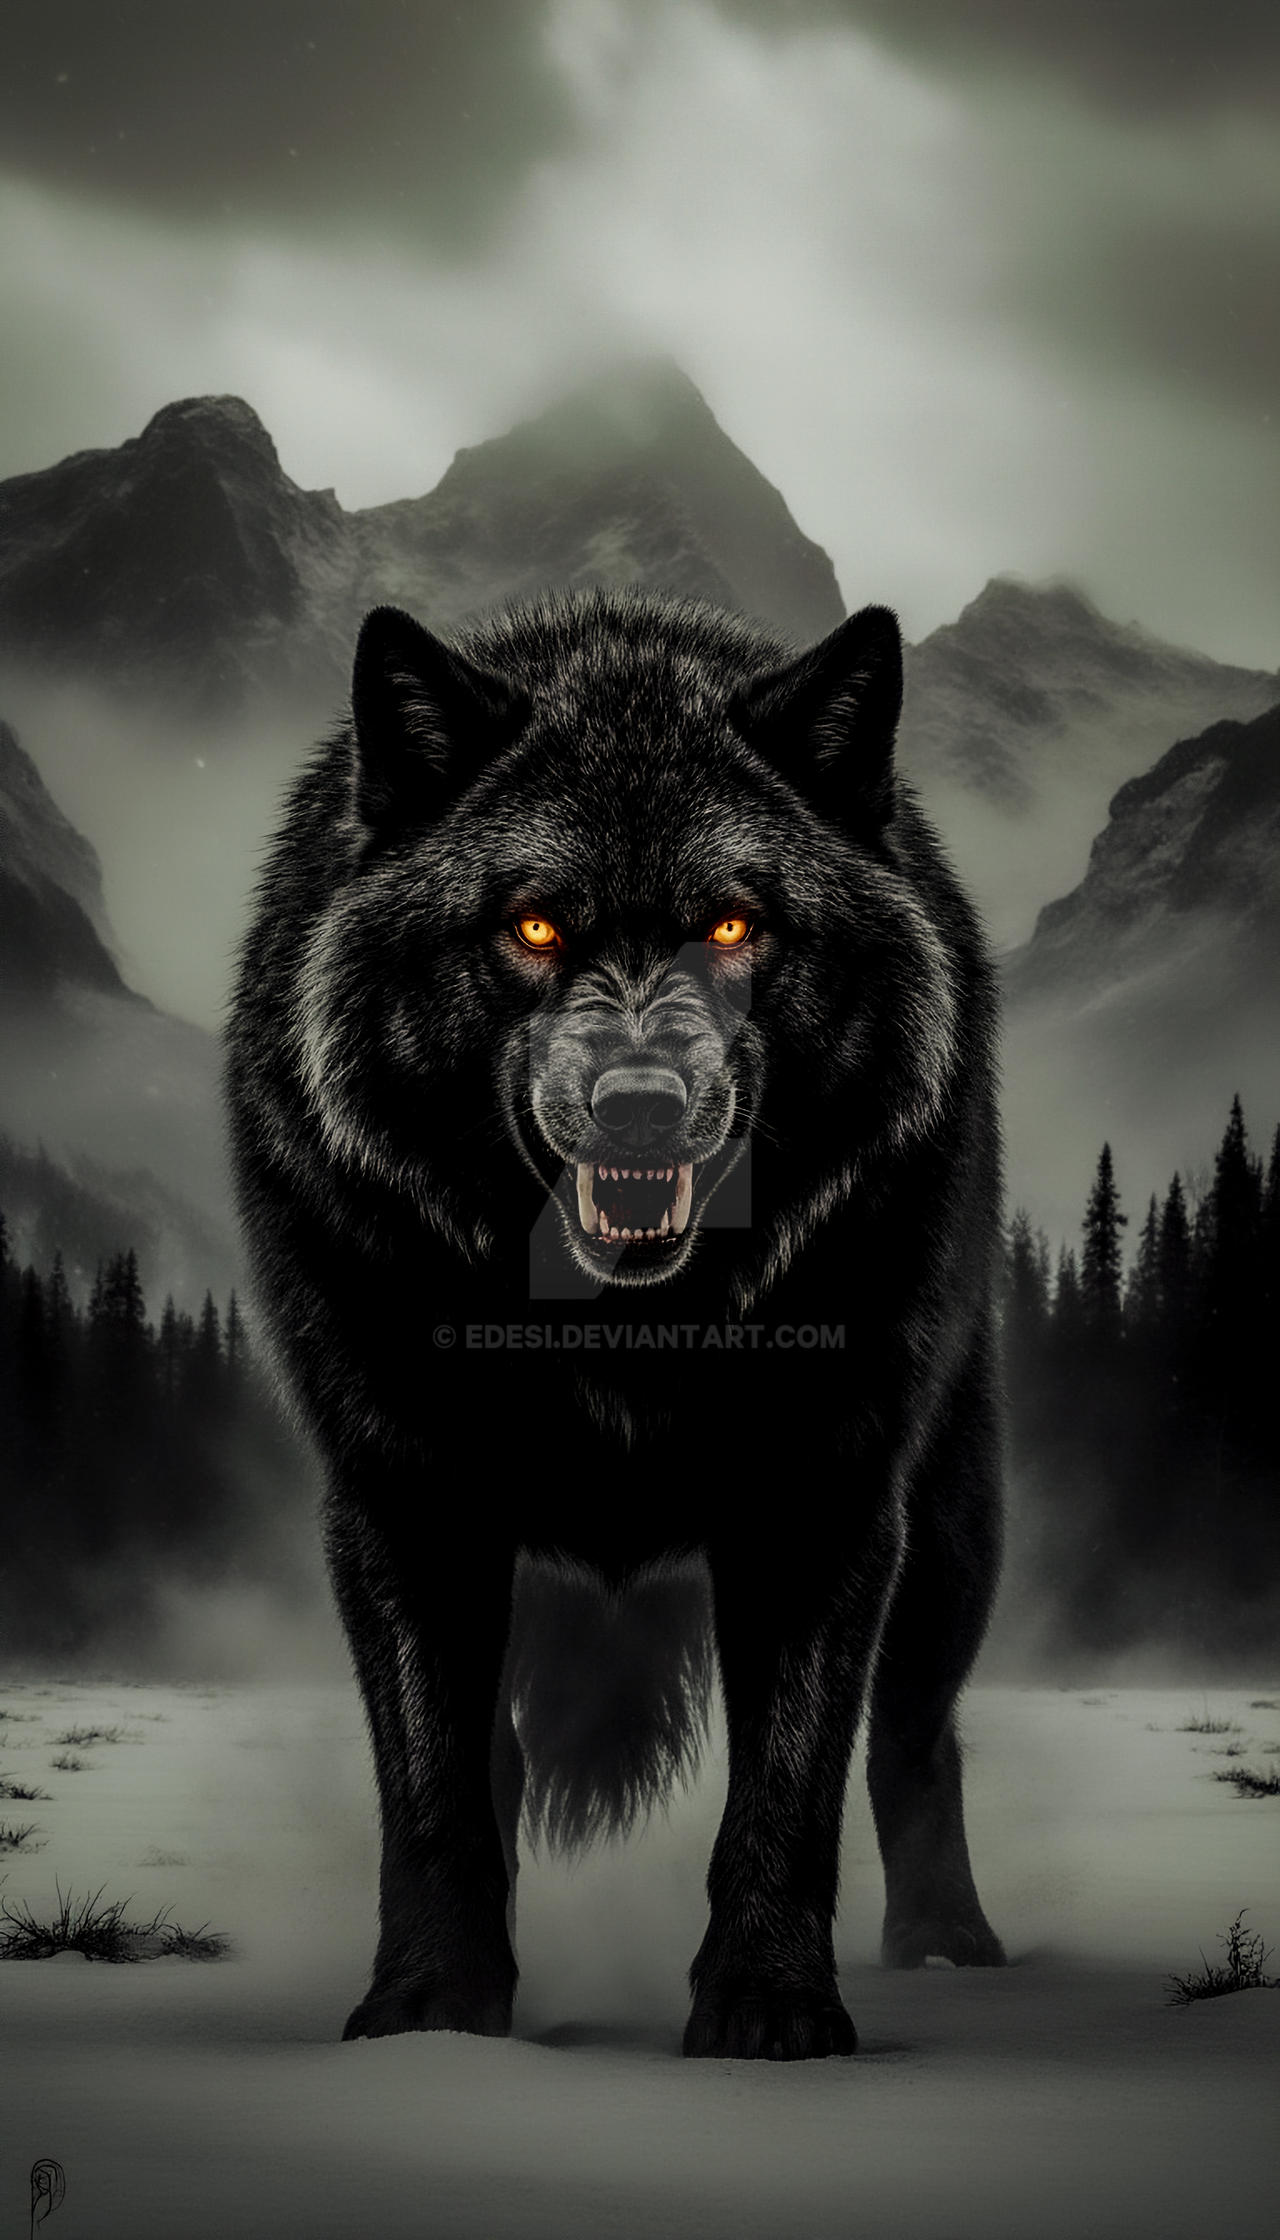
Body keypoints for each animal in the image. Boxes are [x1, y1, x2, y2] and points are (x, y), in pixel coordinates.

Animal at [224, 585, 1006, 2061]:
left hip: (953, 1533)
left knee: (917, 1736)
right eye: (534, 930)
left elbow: (789, 1791)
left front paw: (770, 2011)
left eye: (733, 929)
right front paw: (430, 2012)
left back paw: (949, 1950)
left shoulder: (824, 1497)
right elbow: (434, 1794)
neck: (618, 1340)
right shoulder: (403, 1501)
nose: (638, 1108)